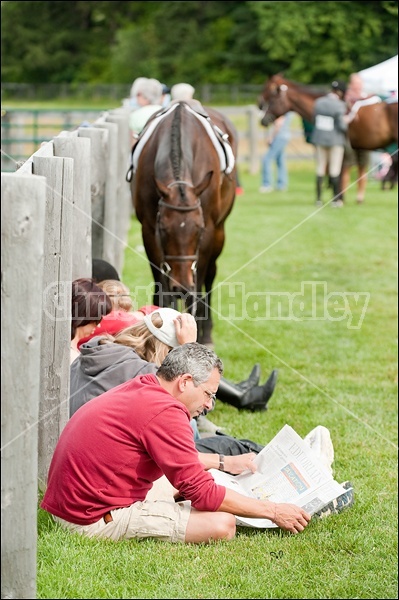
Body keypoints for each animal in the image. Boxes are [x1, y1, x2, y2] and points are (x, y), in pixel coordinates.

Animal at [130, 101, 239, 344]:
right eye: (163, 229)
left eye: (199, 230)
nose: (181, 286)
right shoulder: (148, 230)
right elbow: (162, 288)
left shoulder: (209, 232)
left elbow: (197, 290)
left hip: (220, 233)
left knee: (209, 277)